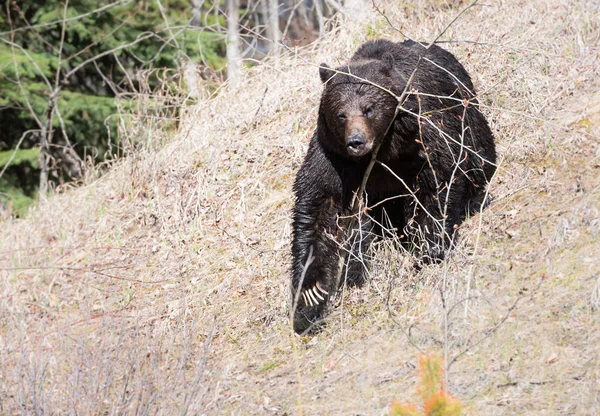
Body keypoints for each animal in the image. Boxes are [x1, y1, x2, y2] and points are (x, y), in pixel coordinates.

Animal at [292, 38, 496, 332]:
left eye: (369, 108)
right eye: (341, 114)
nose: (356, 141)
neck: (385, 148)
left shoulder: (424, 131)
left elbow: (437, 178)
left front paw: (430, 247)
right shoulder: (333, 158)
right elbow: (318, 208)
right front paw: (311, 293)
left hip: (468, 116)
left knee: (479, 157)